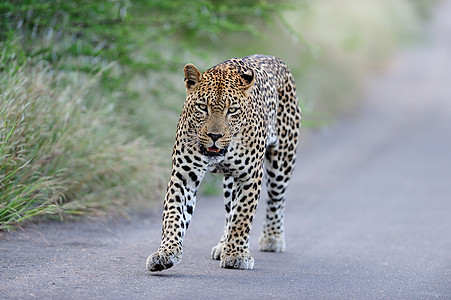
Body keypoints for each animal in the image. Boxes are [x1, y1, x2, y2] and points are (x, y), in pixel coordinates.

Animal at [148, 54, 302, 272]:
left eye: (232, 110)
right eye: (202, 107)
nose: (215, 136)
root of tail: (275, 59)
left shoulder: (250, 176)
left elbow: (243, 216)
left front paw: (237, 255)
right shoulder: (183, 175)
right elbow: (173, 214)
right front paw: (166, 252)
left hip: (282, 160)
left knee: (276, 199)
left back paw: (272, 238)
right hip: (230, 181)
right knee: (230, 210)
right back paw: (223, 245)